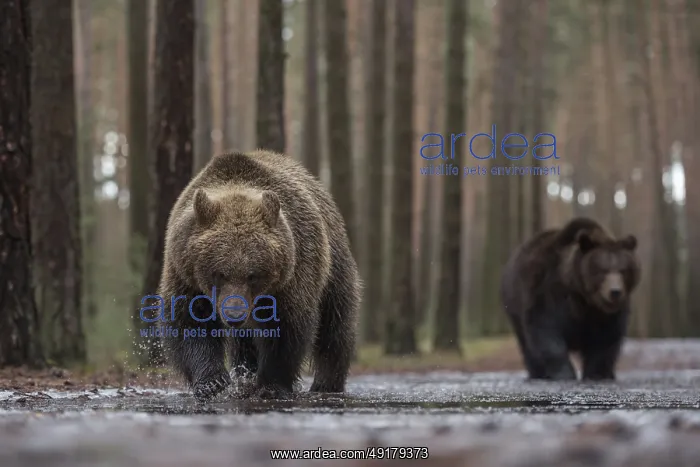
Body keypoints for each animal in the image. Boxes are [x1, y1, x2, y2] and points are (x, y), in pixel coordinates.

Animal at [156, 149, 361, 402]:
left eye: (252, 275)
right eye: (219, 273)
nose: (234, 314)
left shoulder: (292, 275)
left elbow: (286, 327)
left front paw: (271, 385)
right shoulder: (184, 273)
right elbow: (189, 321)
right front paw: (213, 382)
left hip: (333, 266)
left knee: (335, 325)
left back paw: (326, 384)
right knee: (244, 343)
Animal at [499, 217, 641, 381]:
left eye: (623, 270)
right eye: (602, 270)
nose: (615, 292)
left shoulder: (606, 314)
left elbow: (606, 337)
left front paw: (597, 374)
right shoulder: (548, 293)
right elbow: (545, 331)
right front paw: (564, 373)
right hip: (514, 304)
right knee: (526, 342)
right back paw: (538, 373)